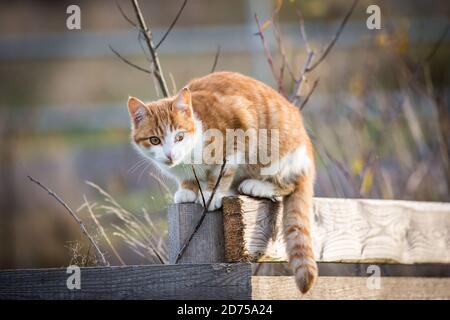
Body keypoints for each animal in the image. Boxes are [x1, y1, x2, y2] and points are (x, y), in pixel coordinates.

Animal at [125, 72, 316, 292]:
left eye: (179, 136)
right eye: (154, 140)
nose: (170, 155)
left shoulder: (239, 127)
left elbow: (222, 173)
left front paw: (212, 194)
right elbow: (190, 179)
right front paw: (188, 189)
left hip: (279, 156)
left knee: (289, 184)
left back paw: (257, 186)